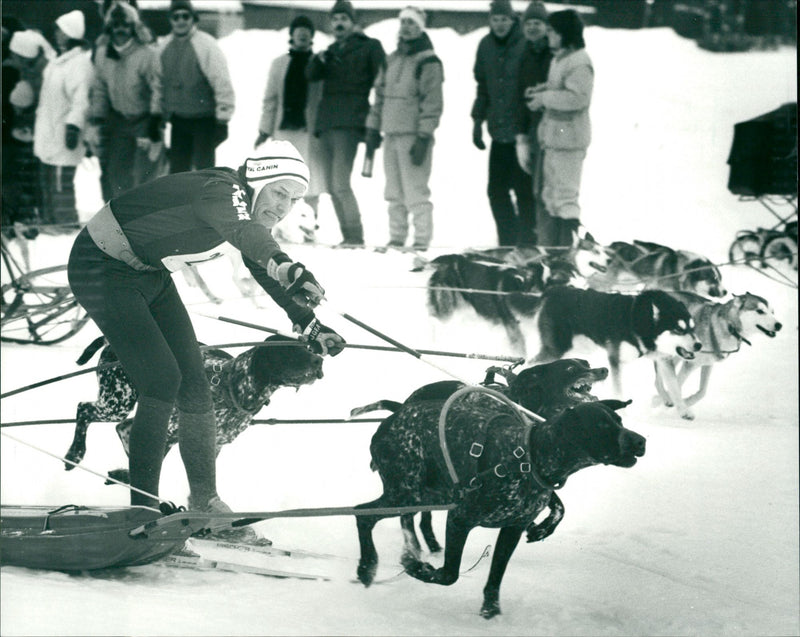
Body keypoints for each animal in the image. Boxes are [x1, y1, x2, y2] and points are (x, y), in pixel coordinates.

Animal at [350, 360, 608, 556]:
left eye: (586, 363)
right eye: (570, 368)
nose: (603, 370)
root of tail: (404, 404)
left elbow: (559, 507)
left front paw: (542, 527)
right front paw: (539, 526)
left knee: (421, 516)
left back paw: (431, 544)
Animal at [356, 398, 644, 616]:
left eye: (619, 421)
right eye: (601, 424)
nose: (641, 440)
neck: (529, 458)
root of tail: (393, 417)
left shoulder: (512, 530)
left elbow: (496, 576)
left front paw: (491, 610)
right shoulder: (459, 519)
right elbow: (450, 574)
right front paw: (419, 569)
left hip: (421, 497)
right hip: (406, 495)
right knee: (362, 515)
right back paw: (367, 567)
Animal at [532, 286, 700, 396]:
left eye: (693, 328)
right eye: (679, 329)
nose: (699, 345)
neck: (638, 321)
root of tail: (551, 292)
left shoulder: (661, 358)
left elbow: (674, 386)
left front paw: (685, 411)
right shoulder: (615, 360)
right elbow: (618, 390)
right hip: (558, 348)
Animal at [652, 288, 780, 418]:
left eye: (772, 312)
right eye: (760, 311)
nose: (779, 325)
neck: (729, 327)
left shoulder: (708, 364)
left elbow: (702, 392)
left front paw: (686, 402)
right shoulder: (690, 364)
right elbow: (676, 384)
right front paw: (665, 403)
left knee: (659, 378)